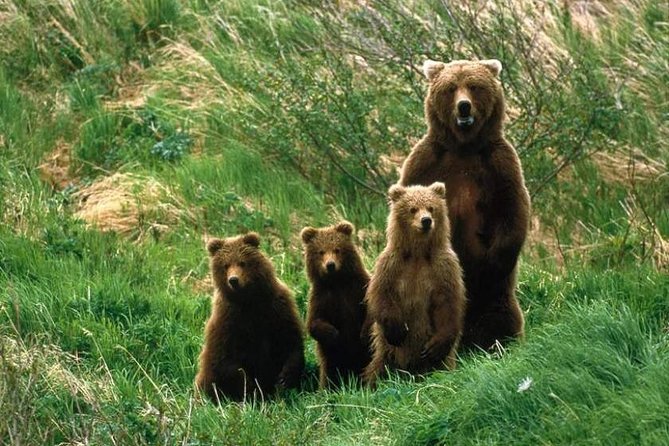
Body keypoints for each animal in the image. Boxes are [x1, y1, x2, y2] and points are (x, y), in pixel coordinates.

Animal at [194, 233, 304, 404]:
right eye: (226, 265)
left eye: (242, 262)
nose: (233, 280)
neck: (248, 300)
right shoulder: (227, 320)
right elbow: (226, 360)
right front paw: (252, 389)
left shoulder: (276, 307)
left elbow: (290, 339)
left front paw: (285, 378)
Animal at [302, 221, 374, 388]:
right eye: (321, 251)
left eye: (337, 249)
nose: (330, 265)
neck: (337, 282)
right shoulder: (321, 297)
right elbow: (314, 323)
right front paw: (333, 334)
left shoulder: (358, 288)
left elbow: (371, 309)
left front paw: (363, 333)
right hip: (331, 360)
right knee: (330, 373)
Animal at [360, 182, 464, 386]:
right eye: (412, 208)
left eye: (431, 207)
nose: (426, 221)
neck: (418, 252)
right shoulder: (392, 265)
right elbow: (382, 294)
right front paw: (397, 330)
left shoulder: (443, 267)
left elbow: (448, 301)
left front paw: (435, 347)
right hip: (387, 352)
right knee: (379, 367)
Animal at [396, 58, 532, 352]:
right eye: (450, 88)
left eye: (474, 85)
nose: (464, 106)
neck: (464, 147)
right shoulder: (426, 161)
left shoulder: (499, 165)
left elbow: (512, 210)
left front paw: (491, 265)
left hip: (496, 298)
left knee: (501, 315)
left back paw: (497, 343)